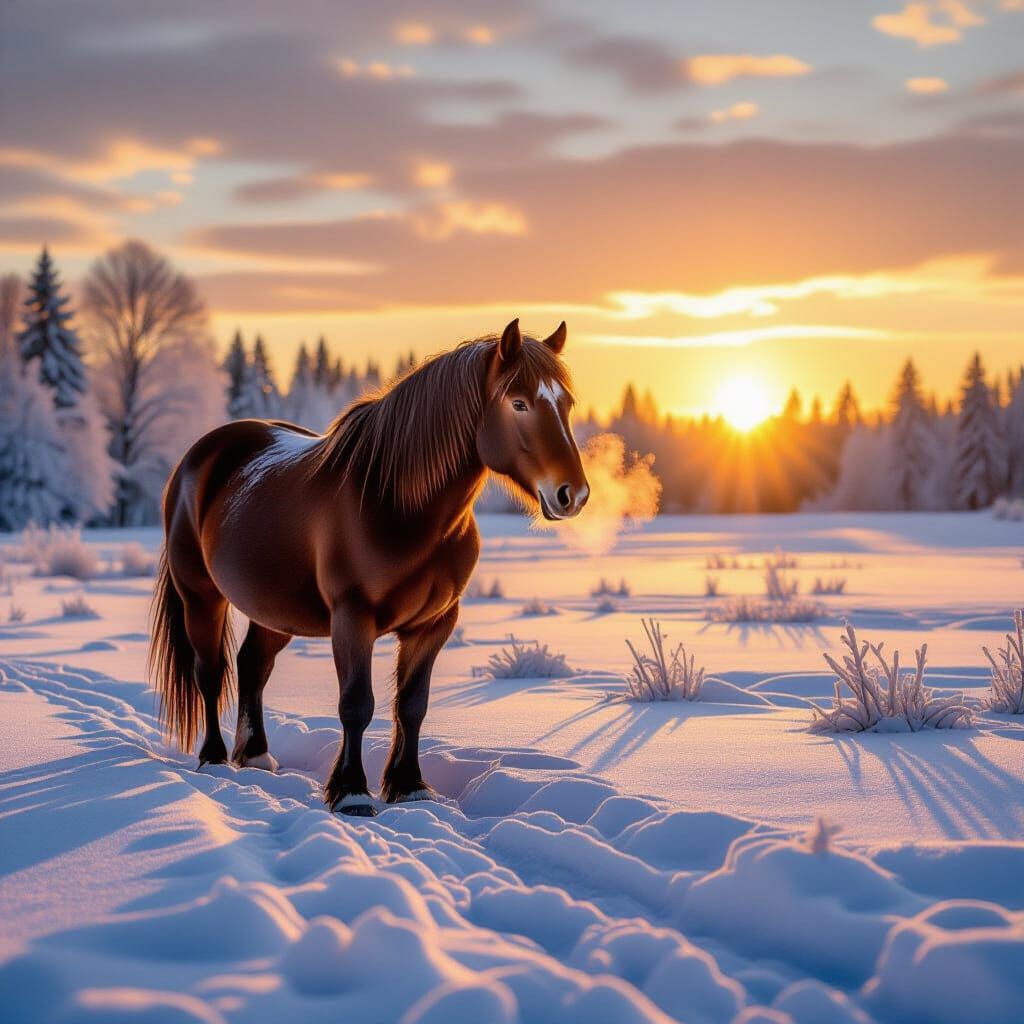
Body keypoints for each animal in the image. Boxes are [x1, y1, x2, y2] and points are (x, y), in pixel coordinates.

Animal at [149, 319, 589, 816]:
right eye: (518, 402)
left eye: (566, 403)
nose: (572, 494)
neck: (397, 504)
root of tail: (201, 455)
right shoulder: (352, 618)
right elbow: (357, 704)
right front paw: (352, 792)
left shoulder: (434, 623)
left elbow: (412, 705)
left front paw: (409, 785)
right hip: (200, 596)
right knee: (209, 672)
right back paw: (214, 757)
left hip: (274, 610)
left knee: (252, 666)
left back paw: (257, 755)